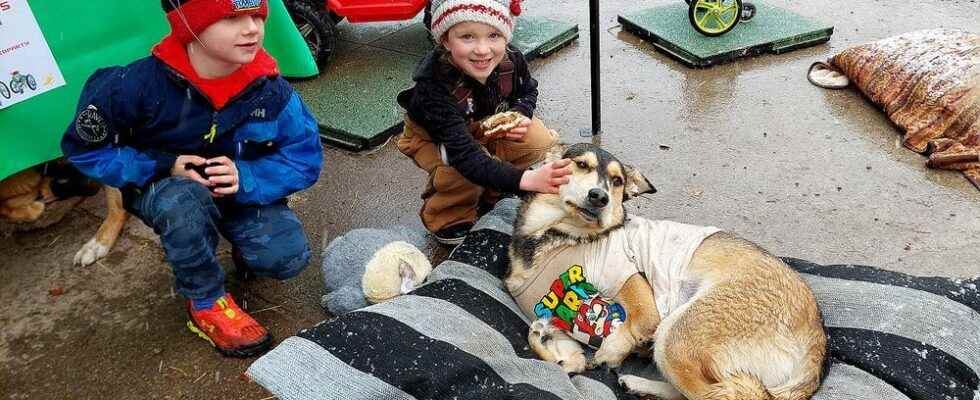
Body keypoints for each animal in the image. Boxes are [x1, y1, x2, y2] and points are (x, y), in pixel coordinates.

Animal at [506, 144, 828, 400]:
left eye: (617, 181)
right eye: (581, 164)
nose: (600, 197)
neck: (553, 235)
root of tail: (817, 339)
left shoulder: (629, 279)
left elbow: (636, 323)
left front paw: (613, 350)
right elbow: (562, 358)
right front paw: (545, 342)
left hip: (675, 336)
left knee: (722, 394)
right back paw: (637, 384)